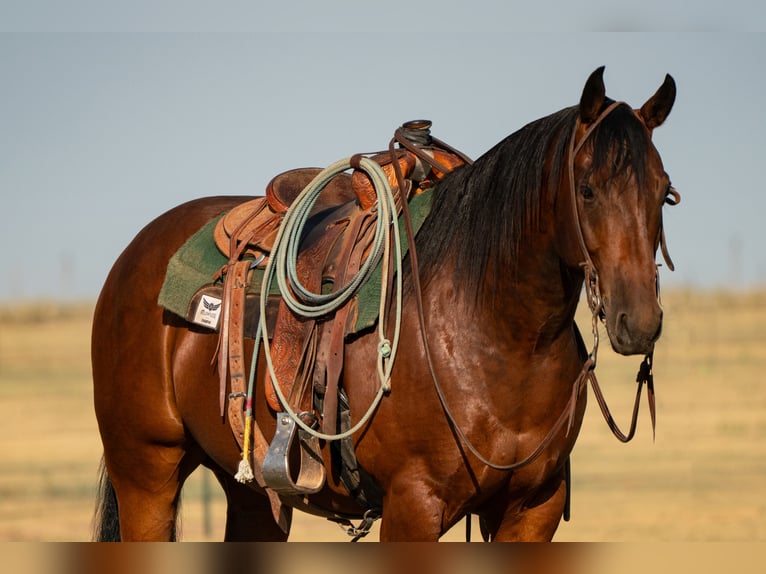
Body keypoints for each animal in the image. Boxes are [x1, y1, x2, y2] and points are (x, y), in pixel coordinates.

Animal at [92, 66, 678, 541]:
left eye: (665, 192)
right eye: (587, 189)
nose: (638, 321)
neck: (496, 337)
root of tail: (133, 255)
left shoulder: (534, 509)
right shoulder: (413, 506)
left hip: (250, 491)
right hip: (146, 472)